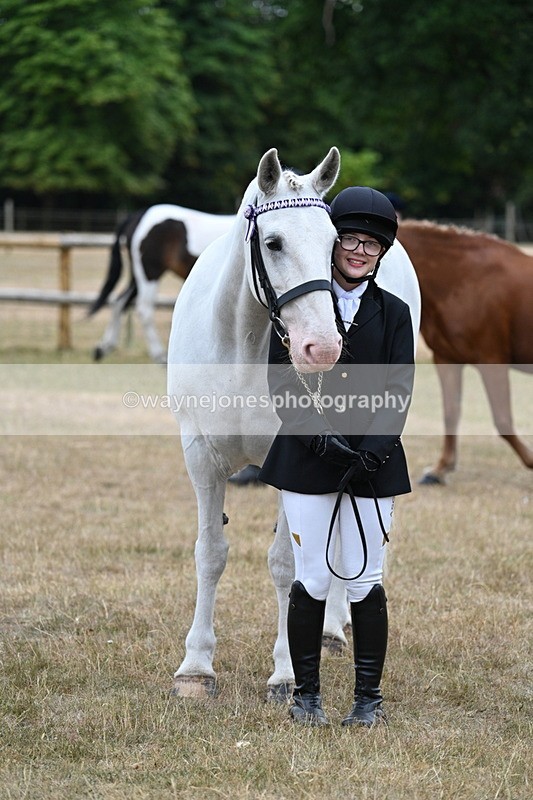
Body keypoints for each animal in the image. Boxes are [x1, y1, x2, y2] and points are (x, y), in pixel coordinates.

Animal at [89, 205, 235, 362]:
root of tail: (138, 216)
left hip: (138, 277)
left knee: (119, 302)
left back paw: (103, 348)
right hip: (149, 274)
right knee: (144, 310)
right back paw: (159, 355)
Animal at [398, 220, 533, 484]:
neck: (463, 277)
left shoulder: (492, 361)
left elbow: (502, 420)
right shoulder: (447, 359)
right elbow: (451, 412)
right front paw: (440, 469)